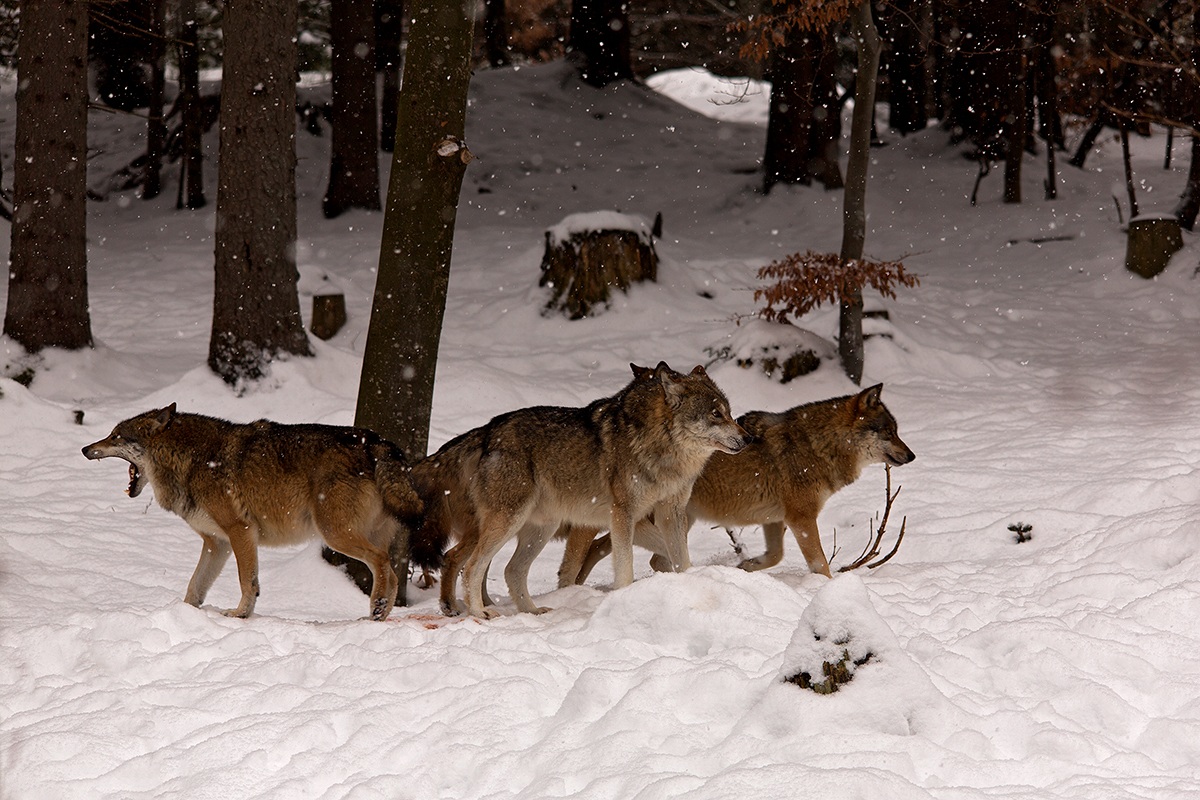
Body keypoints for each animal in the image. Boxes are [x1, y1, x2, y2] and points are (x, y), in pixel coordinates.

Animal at [82, 404, 423, 621]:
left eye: (115, 436)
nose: (85, 449)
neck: (190, 460)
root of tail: (378, 442)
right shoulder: (216, 543)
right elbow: (194, 587)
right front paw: (185, 615)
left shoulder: (241, 532)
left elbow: (248, 581)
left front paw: (240, 614)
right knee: (393, 570)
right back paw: (380, 614)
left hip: (336, 535)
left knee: (382, 563)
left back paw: (377, 608)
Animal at [410, 362, 749, 618]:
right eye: (716, 414)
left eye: (730, 412)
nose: (749, 439)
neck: (662, 448)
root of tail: (486, 431)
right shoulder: (623, 514)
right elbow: (624, 565)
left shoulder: (670, 513)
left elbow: (680, 556)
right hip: (507, 523)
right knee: (470, 566)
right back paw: (479, 612)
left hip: (540, 529)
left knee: (511, 571)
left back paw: (531, 612)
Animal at [558, 384, 915, 584]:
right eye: (889, 432)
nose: (912, 455)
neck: (818, 446)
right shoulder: (800, 518)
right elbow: (821, 564)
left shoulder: (777, 519)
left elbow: (775, 556)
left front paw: (746, 566)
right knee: (604, 550)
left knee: (621, 552)